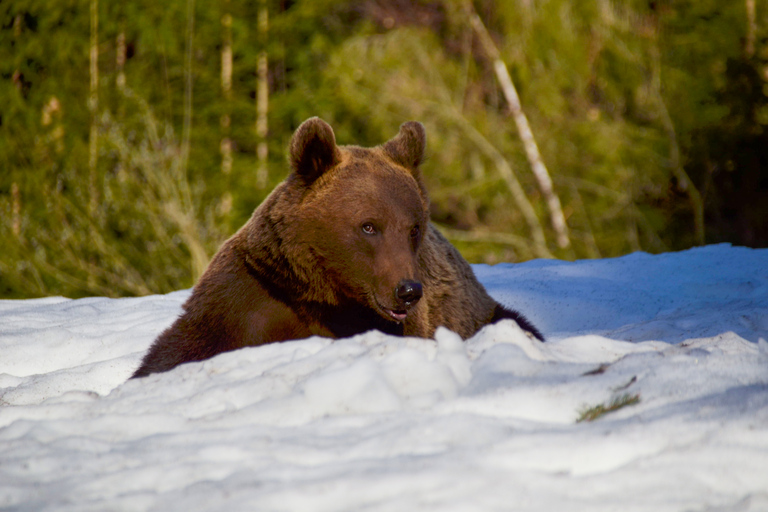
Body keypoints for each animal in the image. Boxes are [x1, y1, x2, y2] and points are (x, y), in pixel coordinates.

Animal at [131, 117, 543, 378]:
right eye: (369, 225)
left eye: (413, 227)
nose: (408, 290)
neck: (325, 292)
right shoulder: (252, 293)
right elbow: (181, 348)